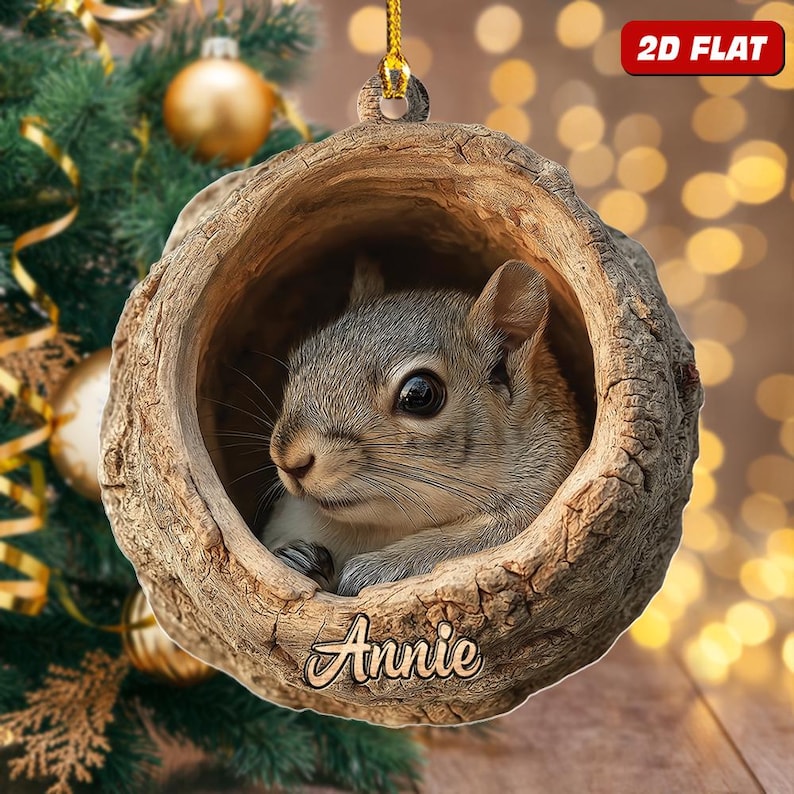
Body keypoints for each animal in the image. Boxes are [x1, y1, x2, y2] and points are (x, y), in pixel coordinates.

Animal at [261, 257, 586, 596]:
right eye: (301, 356)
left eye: (419, 394)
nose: (288, 460)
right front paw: (297, 557)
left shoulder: (536, 505)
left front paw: (375, 569)